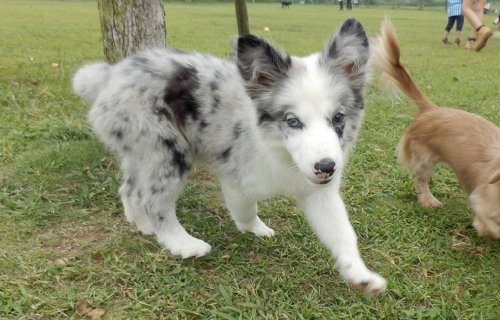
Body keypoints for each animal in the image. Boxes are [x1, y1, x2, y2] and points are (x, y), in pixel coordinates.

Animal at [73, 19, 386, 296]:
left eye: (338, 118)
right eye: (293, 121)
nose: (326, 167)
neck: (279, 150)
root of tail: (112, 75)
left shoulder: (318, 192)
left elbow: (342, 232)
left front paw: (360, 275)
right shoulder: (236, 177)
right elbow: (245, 208)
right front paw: (253, 228)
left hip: (139, 150)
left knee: (129, 188)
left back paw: (142, 224)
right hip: (167, 149)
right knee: (154, 200)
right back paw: (182, 244)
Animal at [376, 20, 500, 239]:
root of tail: (431, 109)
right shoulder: (481, 204)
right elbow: (491, 227)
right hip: (423, 159)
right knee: (419, 179)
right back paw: (428, 199)